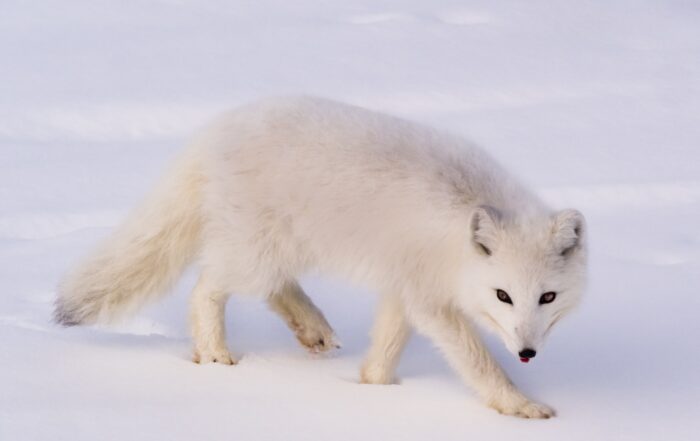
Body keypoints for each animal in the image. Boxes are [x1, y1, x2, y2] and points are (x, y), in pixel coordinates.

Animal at [55, 96, 586, 418]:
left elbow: (386, 347)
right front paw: (520, 406)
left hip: (277, 250)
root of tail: (214, 132)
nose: (527, 352)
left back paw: (312, 330)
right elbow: (477, 362)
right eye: (502, 295)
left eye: (548, 297)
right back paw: (216, 356)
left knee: (275, 289)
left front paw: (372, 389)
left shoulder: (404, 288)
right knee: (206, 288)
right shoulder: (429, 300)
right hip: (256, 253)